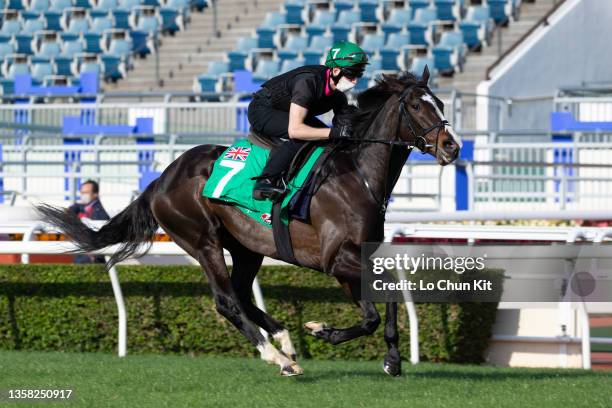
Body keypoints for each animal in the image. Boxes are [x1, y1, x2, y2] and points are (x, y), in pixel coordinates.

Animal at [37, 66, 460, 376]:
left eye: (440, 103)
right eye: (418, 107)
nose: (452, 146)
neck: (357, 175)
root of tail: (162, 179)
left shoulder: (354, 258)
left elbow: (379, 305)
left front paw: (388, 357)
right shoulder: (334, 258)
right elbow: (380, 299)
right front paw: (325, 332)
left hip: (246, 247)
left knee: (240, 293)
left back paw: (285, 342)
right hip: (202, 240)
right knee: (225, 301)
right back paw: (276, 357)